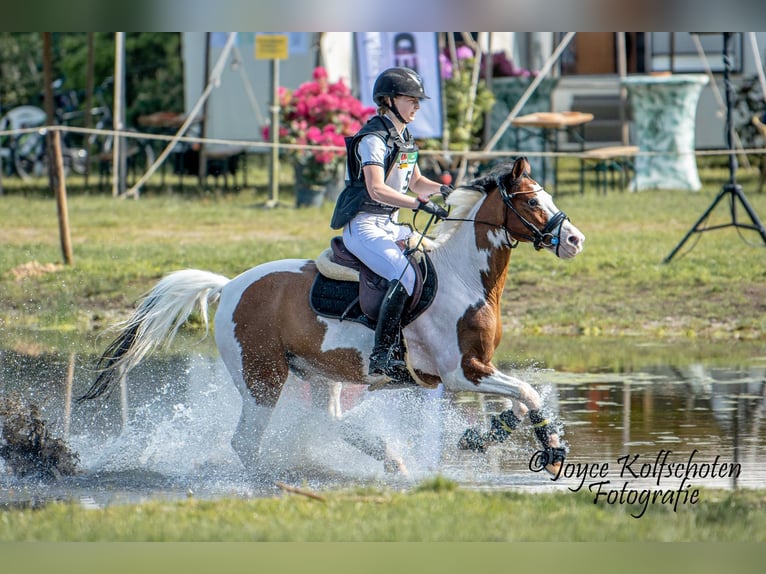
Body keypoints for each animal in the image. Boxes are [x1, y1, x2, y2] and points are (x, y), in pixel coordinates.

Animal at [79, 158, 588, 482]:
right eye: (532, 201)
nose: (575, 240)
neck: (464, 276)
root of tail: (229, 286)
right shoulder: (461, 373)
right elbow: (526, 392)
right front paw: (553, 452)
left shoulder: (478, 369)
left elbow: (520, 398)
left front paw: (481, 438)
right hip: (262, 378)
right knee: (247, 442)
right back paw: (277, 477)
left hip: (320, 373)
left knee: (327, 421)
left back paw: (388, 458)